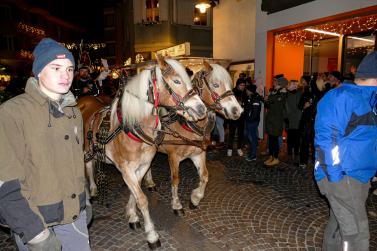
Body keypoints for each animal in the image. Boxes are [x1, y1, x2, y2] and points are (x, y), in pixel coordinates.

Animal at [81, 56, 206, 248]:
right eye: (176, 81)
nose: (201, 109)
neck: (133, 127)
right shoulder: (126, 169)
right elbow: (142, 199)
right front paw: (152, 235)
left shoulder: (143, 165)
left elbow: (136, 192)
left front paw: (132, 215)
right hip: (86, 149)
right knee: (88, 167)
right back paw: (92, 191)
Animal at [142, 61, 242, 215]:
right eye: (215, 85)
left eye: (231, 86)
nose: (237, 110)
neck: (187, 124)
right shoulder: (173, 157)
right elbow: (175, 179)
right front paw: (177, 205)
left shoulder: (198, 154)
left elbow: (205, 176)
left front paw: (195, 199)